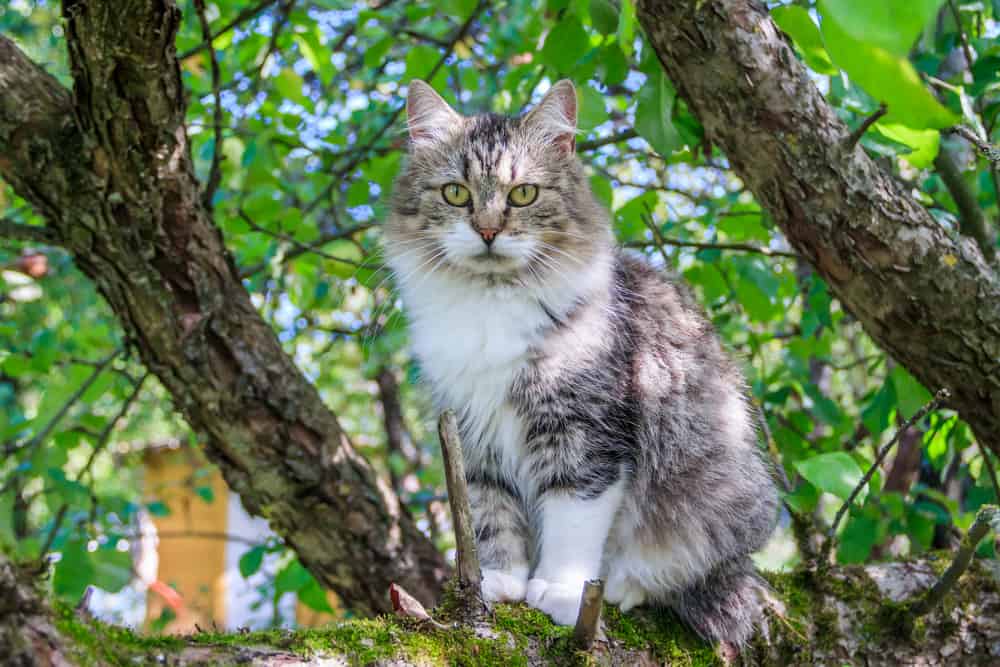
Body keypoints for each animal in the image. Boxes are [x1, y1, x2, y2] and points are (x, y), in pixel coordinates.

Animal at [382, 79, 780, 648]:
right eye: (456, 193)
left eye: (523, 194)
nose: (487, 231)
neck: (491, 304)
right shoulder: (472, 433)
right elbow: (490, 515)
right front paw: (500, 581)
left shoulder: (584, 432)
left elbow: (573, 522)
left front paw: (561, 592)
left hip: (720, 501)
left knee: (684, 569)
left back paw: (623, 585)